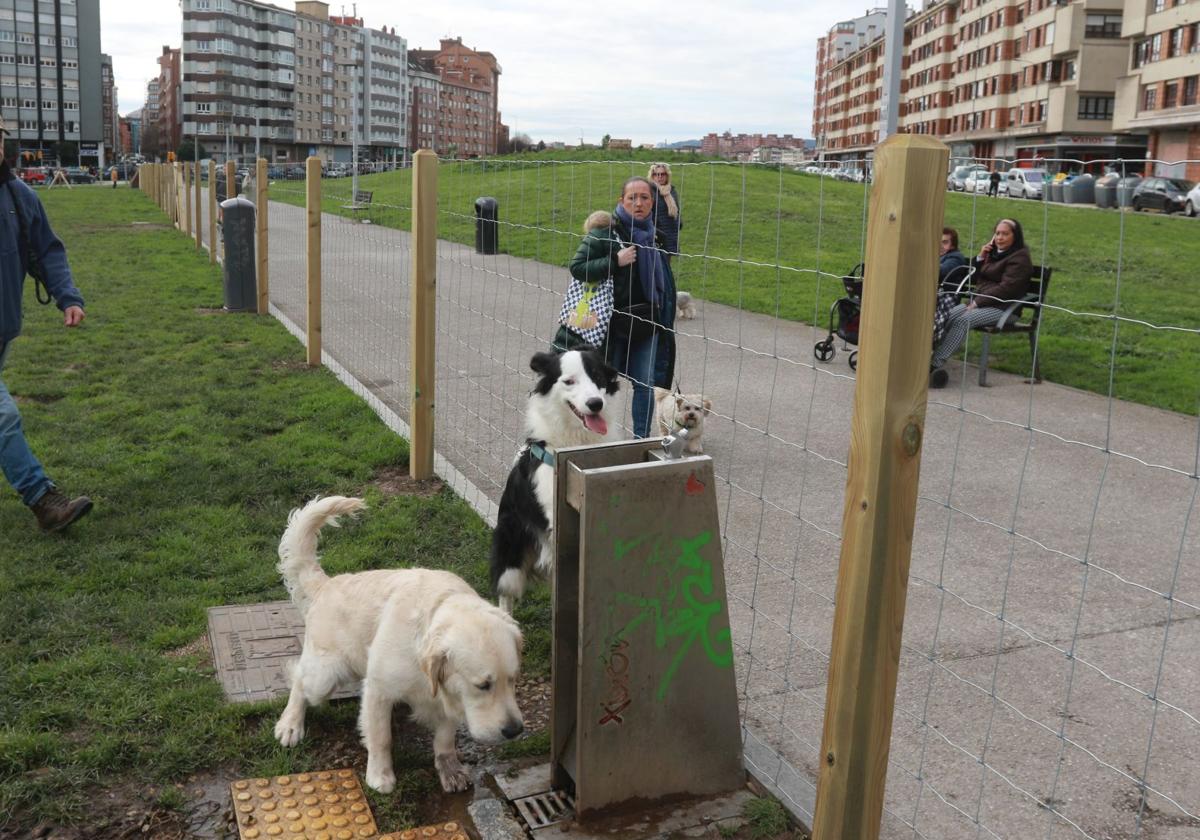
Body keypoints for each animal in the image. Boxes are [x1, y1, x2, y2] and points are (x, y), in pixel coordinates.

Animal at [274, 499, 523, 792]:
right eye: (483, 685)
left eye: (513, 680)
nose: (515, 730)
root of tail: (327, 583)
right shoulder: (378, 690)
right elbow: (381, 737)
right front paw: (380, 775)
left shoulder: (449, 695)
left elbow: (445, 738)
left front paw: (449, 769)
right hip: (325, 676)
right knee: (299, 679)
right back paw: (290, 724)